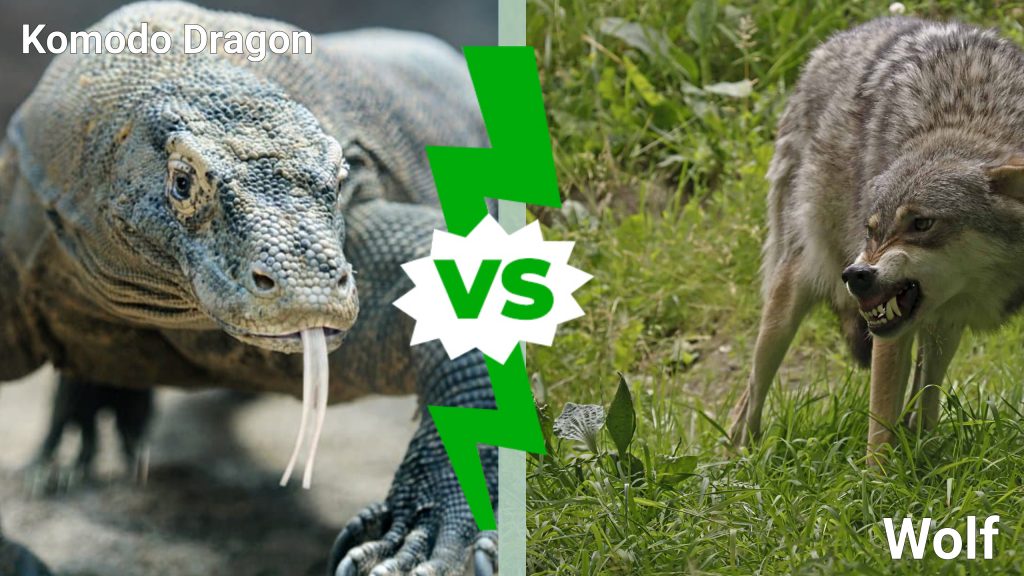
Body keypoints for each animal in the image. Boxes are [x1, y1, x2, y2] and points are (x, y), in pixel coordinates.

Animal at [729, 17, 1024, 458]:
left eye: (921, 224)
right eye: (871, 230)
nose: (857, 275)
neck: (971, 117)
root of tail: (831, 43)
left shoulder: (943, 319)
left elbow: (916, 407)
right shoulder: (888, 335)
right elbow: (879, 430)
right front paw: (881, 477)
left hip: (940, 329)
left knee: (925, 400)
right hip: (789, 298)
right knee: (748, 395)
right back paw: (740, 459)